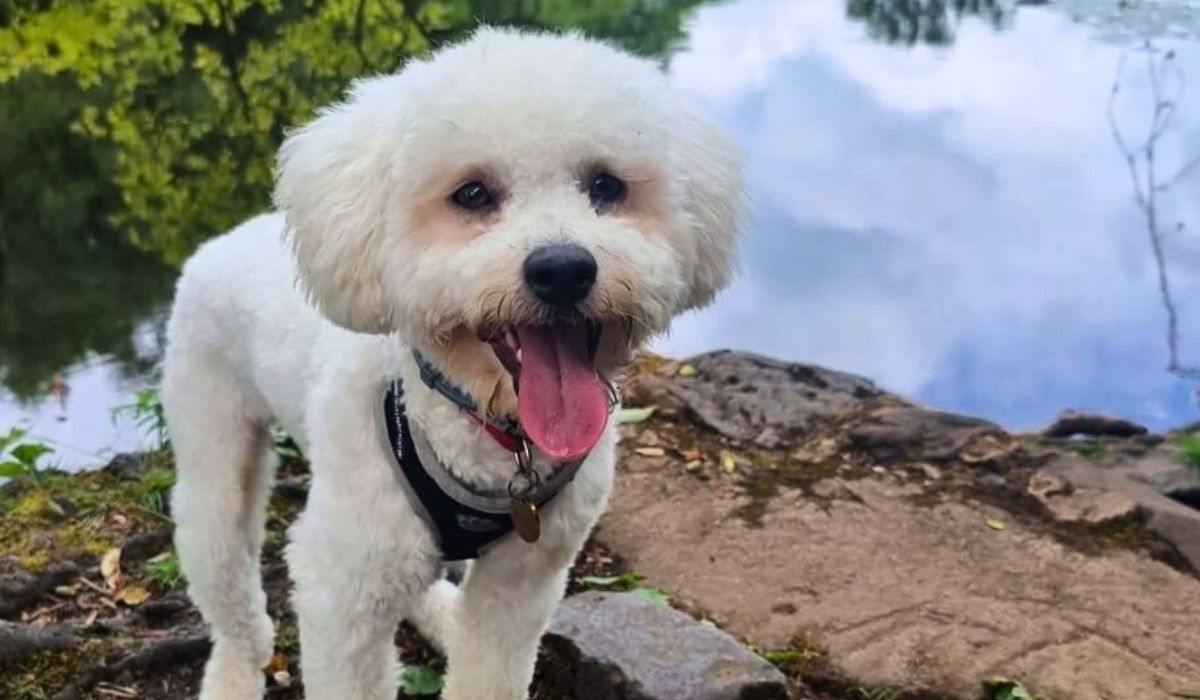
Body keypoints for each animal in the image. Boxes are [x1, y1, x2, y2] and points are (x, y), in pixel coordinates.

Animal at [159, 25, 739, 700]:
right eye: (472, 194)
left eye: (606, 186)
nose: (563, 269)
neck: (489, 427)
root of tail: (225, 238)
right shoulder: (341, 589)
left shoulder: (524, 577)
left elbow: (490, 665)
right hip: (212, 443)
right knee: (228, 583)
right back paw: (234, 672)